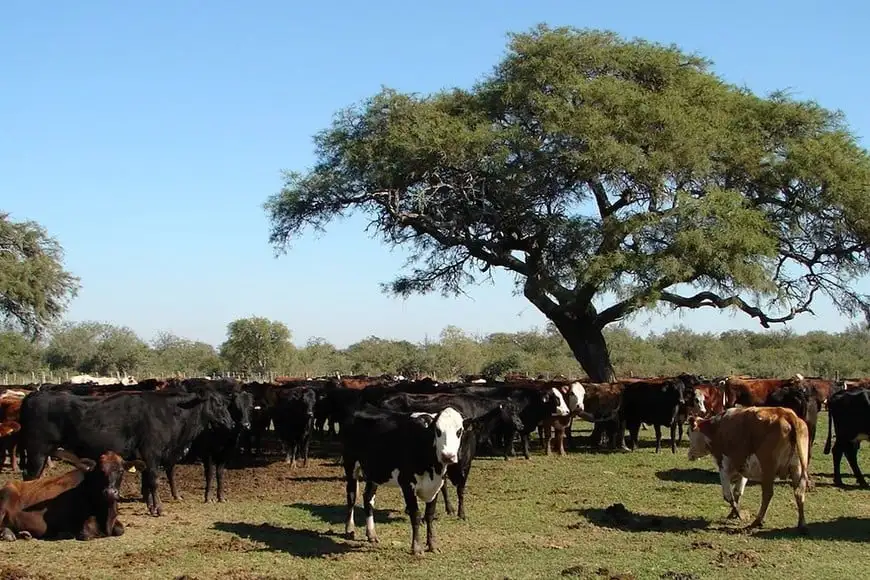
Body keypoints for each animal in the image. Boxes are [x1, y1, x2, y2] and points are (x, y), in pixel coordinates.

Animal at [0, 449, 145, 541]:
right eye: (100, 471)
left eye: (121, 471)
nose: (110, 492)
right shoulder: (84, 528)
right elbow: (88, 533)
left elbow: (120, 530)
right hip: (6, 498)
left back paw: (23, 533)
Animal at [18, 390, 235, 516]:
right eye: (217, 403)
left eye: (225, 403)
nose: (231, 423)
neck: (167, 412)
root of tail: (33, 395)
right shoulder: (152, 453)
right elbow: (154, 482)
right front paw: (159, 509)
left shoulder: (144, 457)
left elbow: (146, 483)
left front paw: (150, 506)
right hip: (37, 451)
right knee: (30, 478)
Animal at [341, 405, 467, 555]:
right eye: (437, 431)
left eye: (459, 431)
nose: (448, 456)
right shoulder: (407, 483)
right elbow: (416, 515)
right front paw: (417, 547)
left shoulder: (435, 485)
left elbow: (429, 515)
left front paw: (432, 545)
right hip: (350, 466)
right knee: (351, 496)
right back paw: (349, 529)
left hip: (374, 472)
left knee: (368, 499)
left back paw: (371, 534)